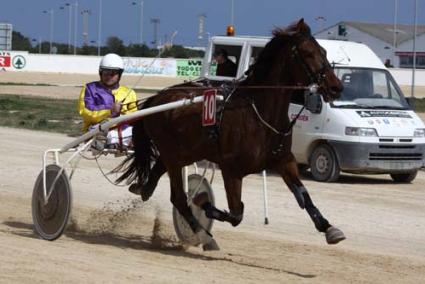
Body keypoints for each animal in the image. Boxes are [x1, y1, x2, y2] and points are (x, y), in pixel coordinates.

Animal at [115, 18, 344, 250]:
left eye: (323, 51)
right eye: (308, 53)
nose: (336, 87)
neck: (260, 114)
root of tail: (157, 98)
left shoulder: (284, 160)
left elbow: (304, 196)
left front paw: (329, 228)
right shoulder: (231, 169)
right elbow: (236, 214)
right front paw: (201, 201)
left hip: (183, 152)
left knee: (160, 174)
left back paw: (143, 189)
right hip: (173, 154)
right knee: (178, 198)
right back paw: (203, 234)